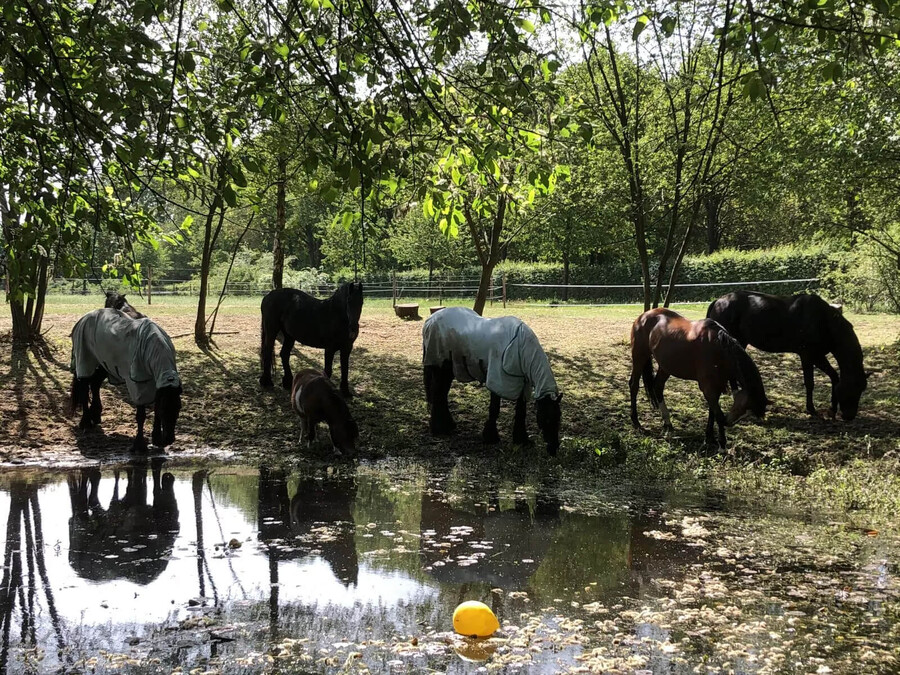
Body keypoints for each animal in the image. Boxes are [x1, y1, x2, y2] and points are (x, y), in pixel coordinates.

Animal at [422, 308, 564, 456]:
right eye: (547, 418)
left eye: (559, 417)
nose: (553, 448)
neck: (519, 346)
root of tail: (430, 320)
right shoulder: (497, 378)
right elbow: (495, 409)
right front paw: (491, 437)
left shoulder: (523, 384)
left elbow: (521, 411)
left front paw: (521, 439)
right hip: (440, 368)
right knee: (438, 394)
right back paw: (439, 429)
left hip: (448, 371)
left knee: (442, 395)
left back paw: (448, 425)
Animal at [628, 310, 768, 448]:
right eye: (742, 407)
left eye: (750, 413)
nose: (728, 422)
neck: (718, 347)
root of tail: (643, 316)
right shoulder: (708, 387)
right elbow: (718, 414)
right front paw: (722, 443)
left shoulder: (717, 385)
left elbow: (713, 411)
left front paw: (709, 437)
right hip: (639, 356)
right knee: (634, 385)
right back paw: (636, 421)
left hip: (665, 367)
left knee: (657, 386)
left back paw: (667, 422)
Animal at [708, 292, 868, 420]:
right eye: (852, 388)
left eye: (862, 389)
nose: (849, 416)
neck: (824, 321)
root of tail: (718, 301)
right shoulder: (808, 356)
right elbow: (810, 383)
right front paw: (811, 409)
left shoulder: (818, 356)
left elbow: (834, 377)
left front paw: (832, 410)